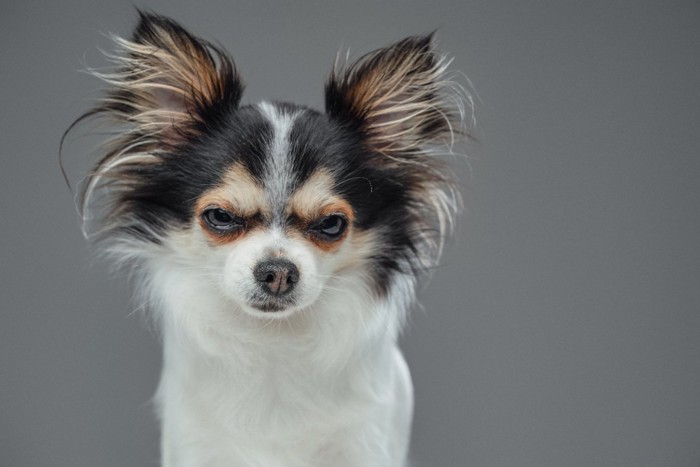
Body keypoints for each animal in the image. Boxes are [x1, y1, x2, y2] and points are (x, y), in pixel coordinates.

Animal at [65, 11, 468, 467]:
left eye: (331, 224)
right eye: (220, 217)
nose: (277, 272)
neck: (274, 343)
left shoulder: (365, 444)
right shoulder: (195, 446)